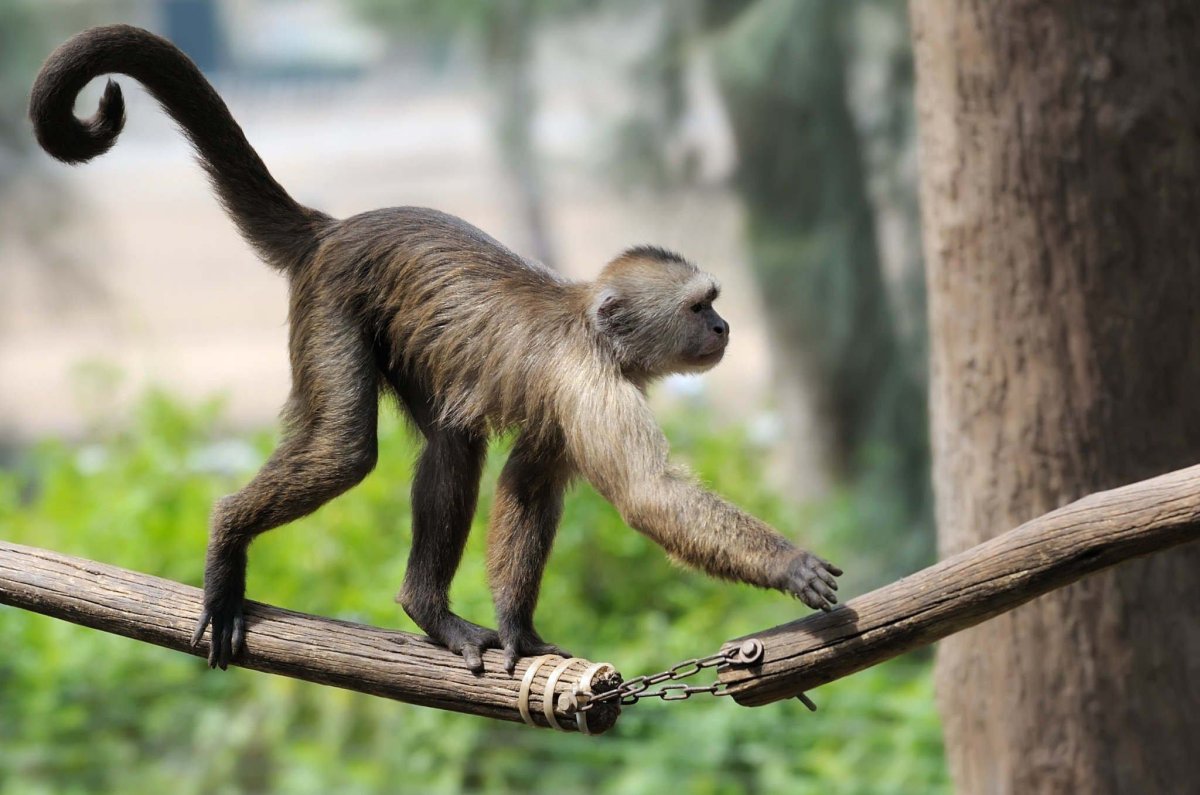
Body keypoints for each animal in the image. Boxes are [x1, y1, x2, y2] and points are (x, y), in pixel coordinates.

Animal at [30, 25, 842, 674]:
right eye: (701, 306)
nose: (724, 329)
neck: (590, 329)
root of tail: (331, 229)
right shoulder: (590, 382)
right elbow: (649, 495)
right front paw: (789, 562)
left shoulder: (574, 396)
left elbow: (529, 484)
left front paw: (518, 627)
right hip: (332, 304)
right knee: (345, 450)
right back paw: (230, 537)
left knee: (454, 440)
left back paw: (427, 609)